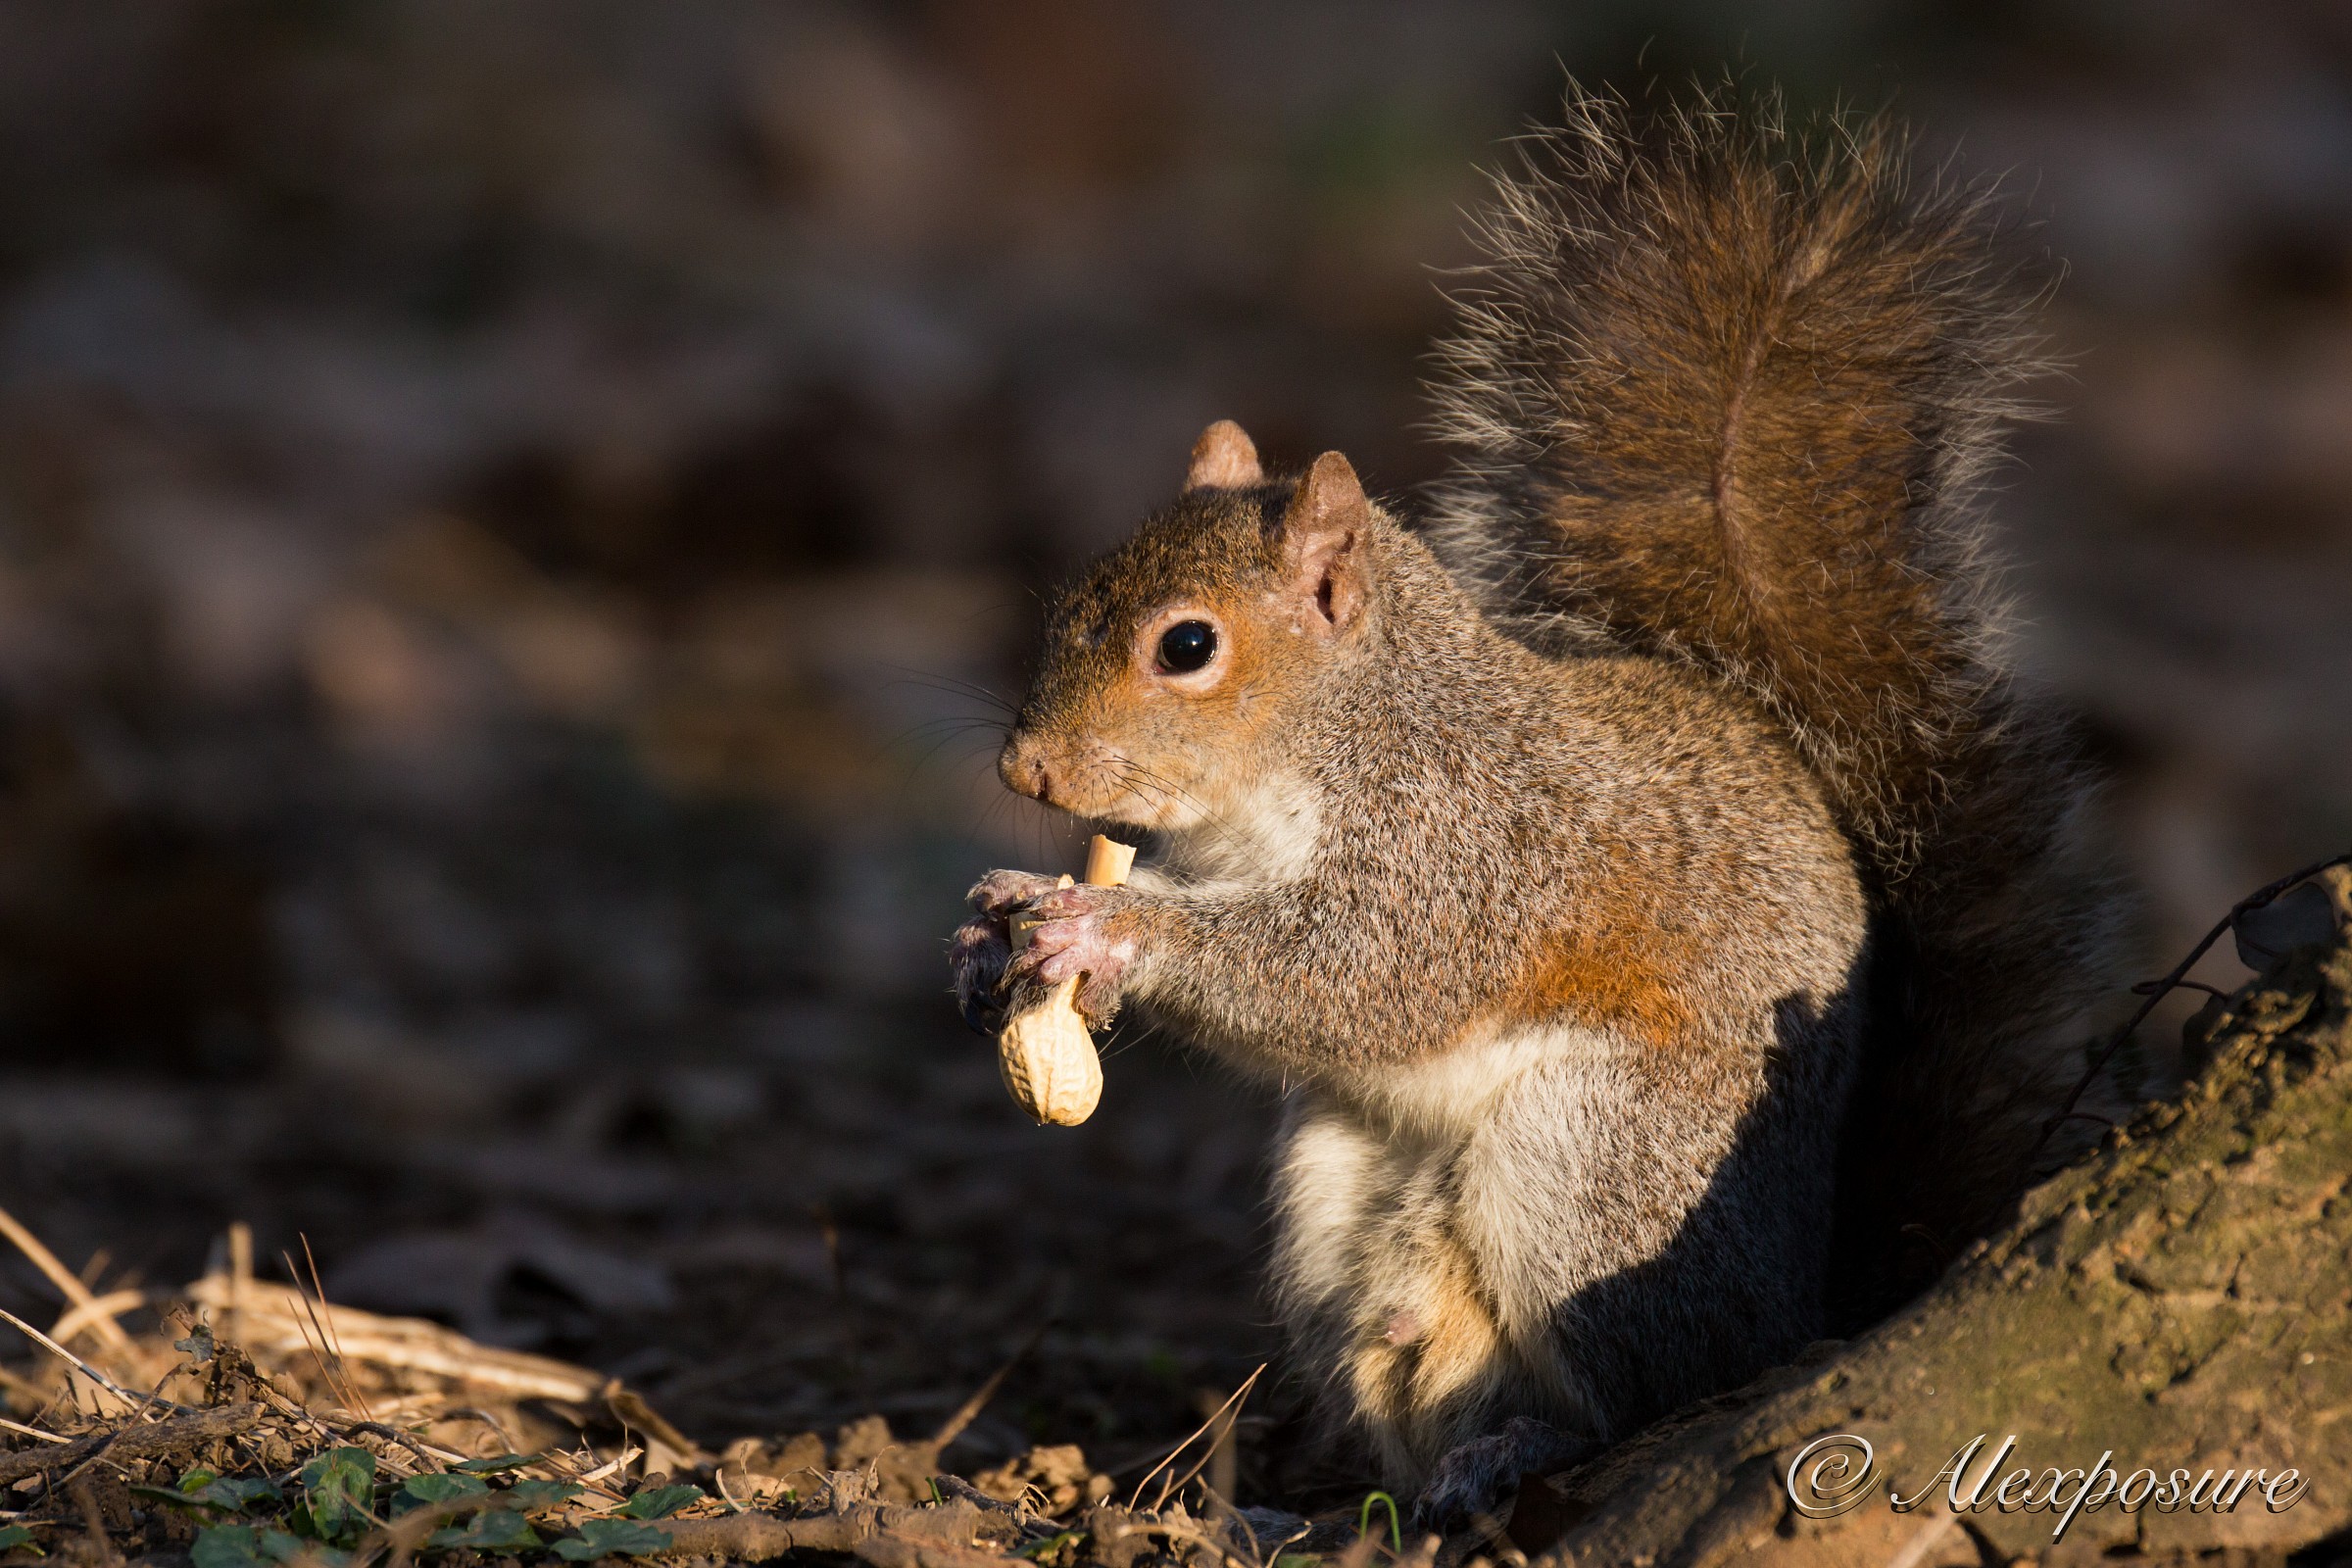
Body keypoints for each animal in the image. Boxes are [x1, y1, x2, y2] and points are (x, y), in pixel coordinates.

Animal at [941, 85, 2135, 1523]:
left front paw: (1096, 929)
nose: (1026, 774)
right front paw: (998, 929)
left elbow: (1360, 973)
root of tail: (1813, 1302)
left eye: (1187, 646)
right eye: (1070, 595)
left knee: (1659, 1384)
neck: (1332, 742)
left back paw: (1530, 1447)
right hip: (1345, 1190)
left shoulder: (1468, 846)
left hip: (1601, 1166)